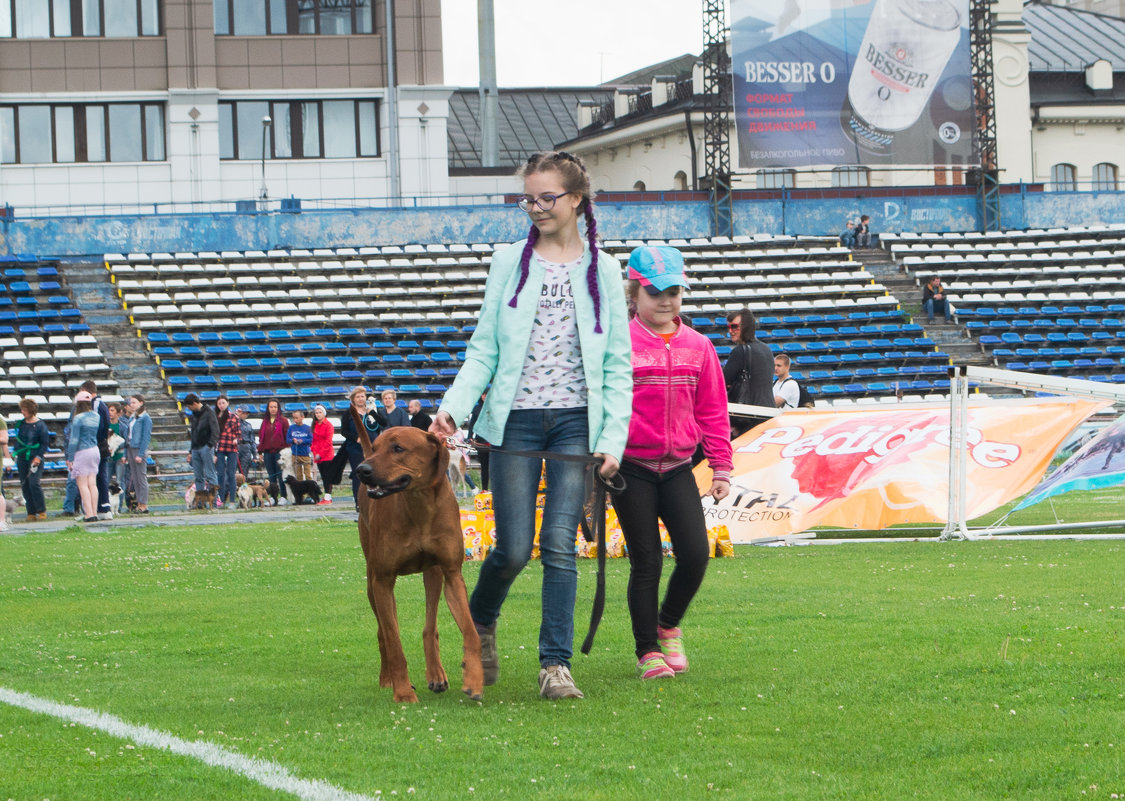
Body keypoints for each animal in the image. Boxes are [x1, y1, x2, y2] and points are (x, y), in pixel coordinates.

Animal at [351, 423, 483, 697]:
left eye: (398, 448)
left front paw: (474, 679)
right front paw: (403, 693)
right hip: (372, 581)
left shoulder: (452, 574)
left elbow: (470, 632)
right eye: (377, 447)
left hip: (433, 574)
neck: (419, 505)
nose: (361, 470)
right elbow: (393, 641)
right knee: (383, 632)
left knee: (429, 626)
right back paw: (387, 679)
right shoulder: (383, 580)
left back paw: (436, 674)